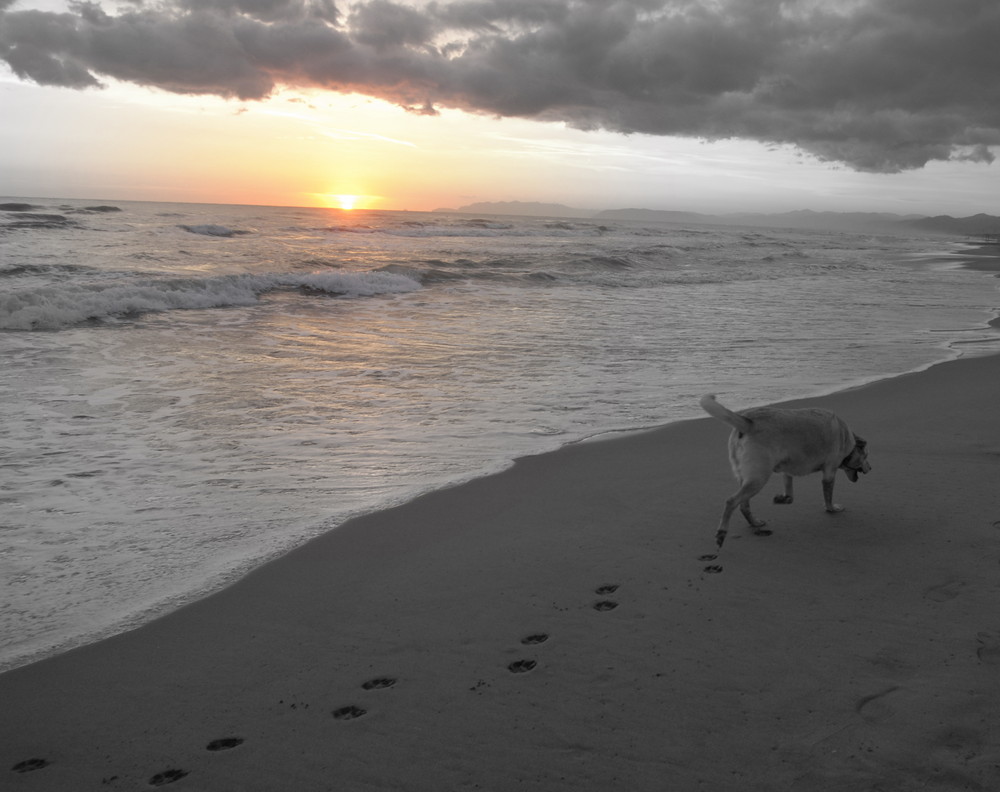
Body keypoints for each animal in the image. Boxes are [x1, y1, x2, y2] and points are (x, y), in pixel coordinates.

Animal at [700, 394, 872, 548]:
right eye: (866, 456)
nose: (871, 468)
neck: (847, 439)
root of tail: (749, 422)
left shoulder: (787, 472)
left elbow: (790, 494)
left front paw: (783, 499)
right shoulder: (829, 473)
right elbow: (828, 495)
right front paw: (832, 509)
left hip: (746, 479)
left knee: (743, 505)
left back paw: (754, 522)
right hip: (758, 478)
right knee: (731, 501)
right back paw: (721, 533)